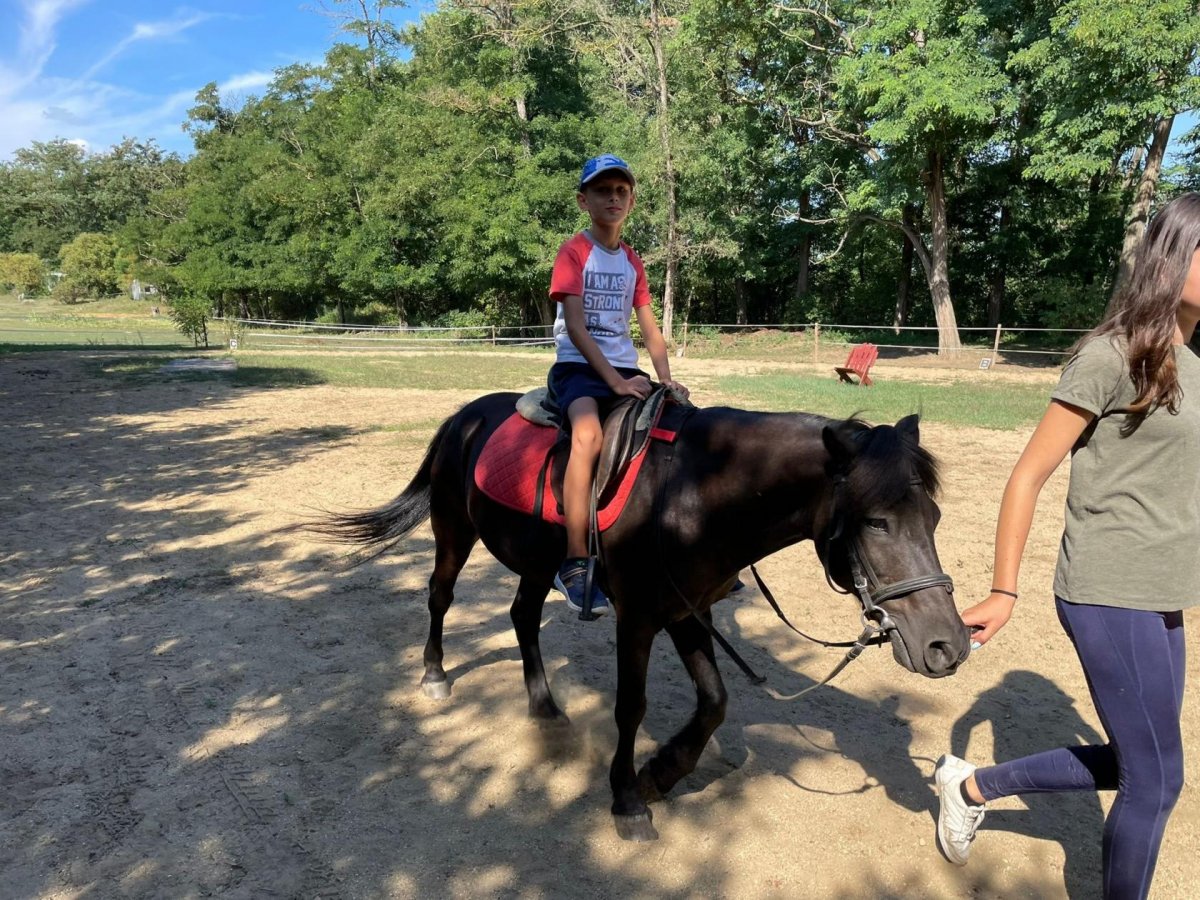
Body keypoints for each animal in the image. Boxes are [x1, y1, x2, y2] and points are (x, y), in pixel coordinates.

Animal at [313, 391, 971, 841]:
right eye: (876, 522)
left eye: (936, 518)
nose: (948, 646)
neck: (695, 492)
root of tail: (464, 417)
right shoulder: (637, 618)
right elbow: (632, 706)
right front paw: (628, 799)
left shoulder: (687, 609)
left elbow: (714, 701)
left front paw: (662, 774)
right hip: (453, 530)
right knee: (440, 598)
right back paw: (434, 676)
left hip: (535, 559)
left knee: (522, 616)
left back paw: (545, 709)